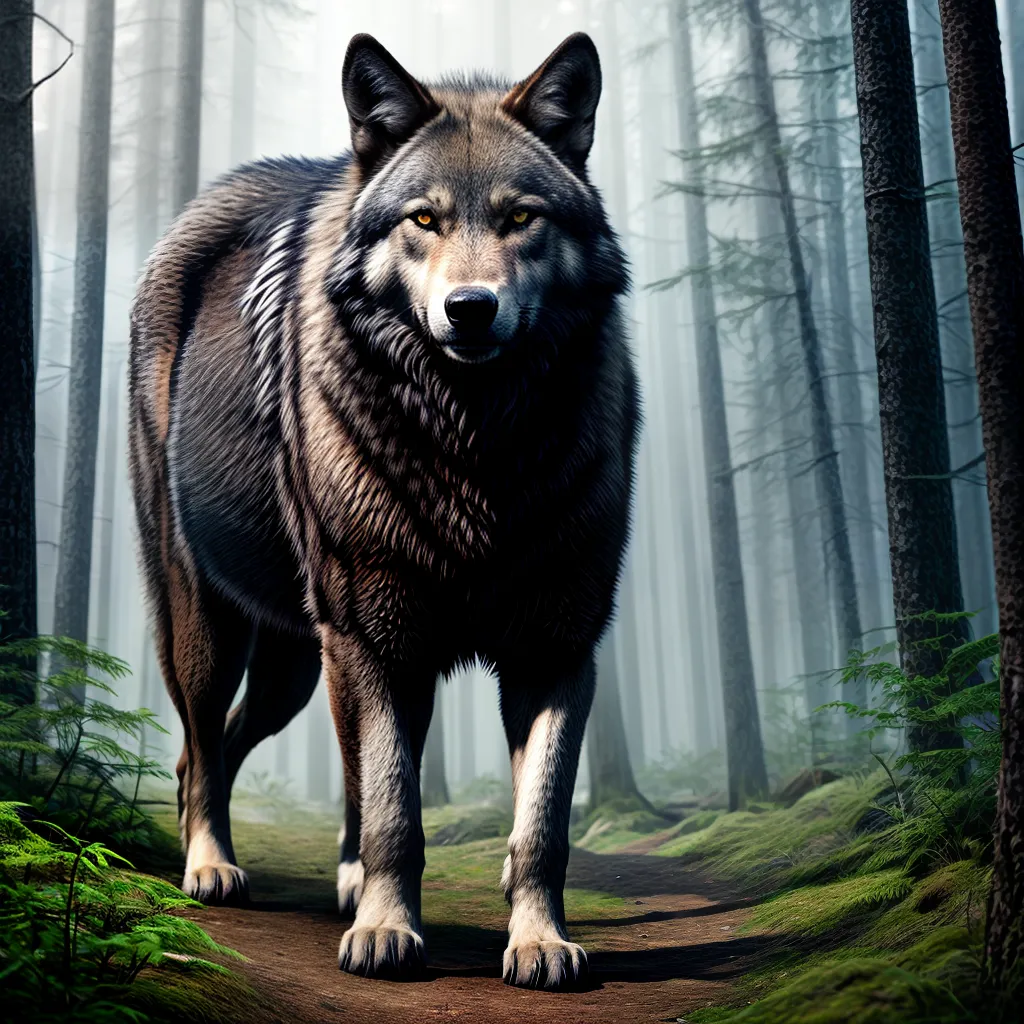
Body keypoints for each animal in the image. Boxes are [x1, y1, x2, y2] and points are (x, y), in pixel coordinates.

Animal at [128, 31, 636, 990]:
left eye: (521, 218)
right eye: (424, 221)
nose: (469, 309)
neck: (475, 450)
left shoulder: (557, 647)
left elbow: (540, 825)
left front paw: (540, 943)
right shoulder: (374, 639)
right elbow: (396, 808)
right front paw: (386, 931)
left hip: (299, 663)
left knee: (238, 748)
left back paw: (331, 876)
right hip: (222, 630)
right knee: (203, 747)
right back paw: (211, 866)